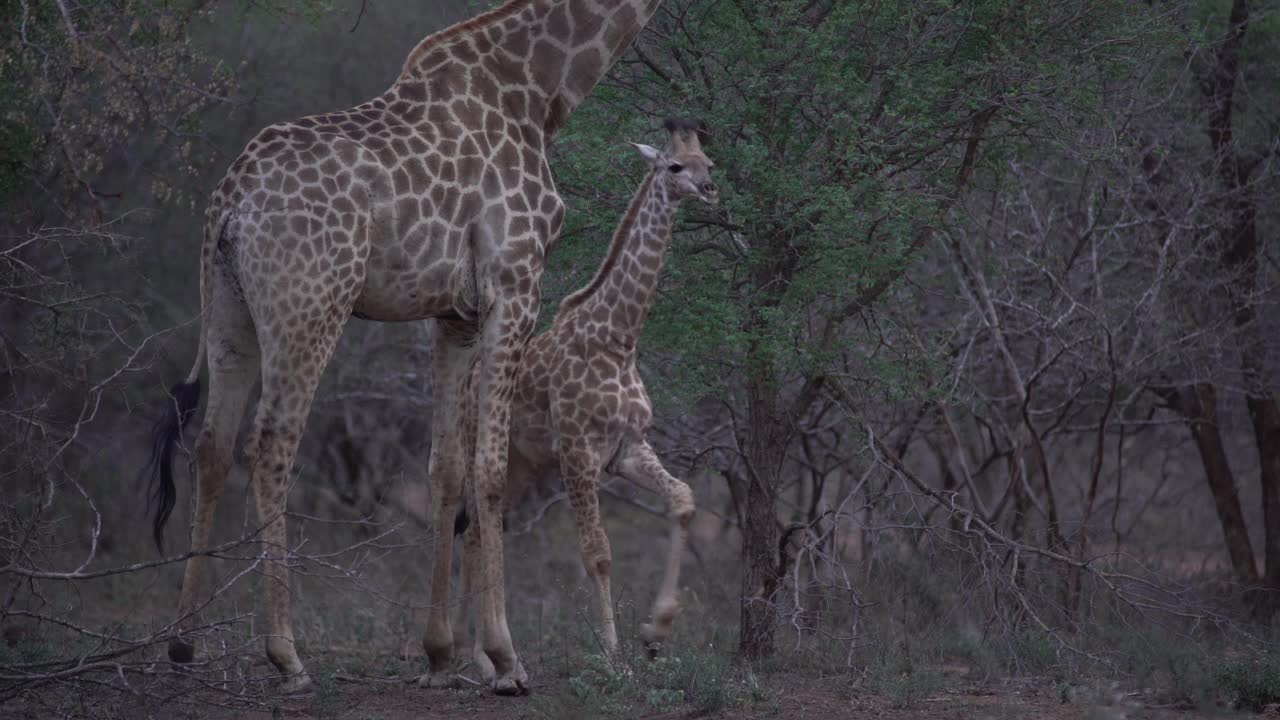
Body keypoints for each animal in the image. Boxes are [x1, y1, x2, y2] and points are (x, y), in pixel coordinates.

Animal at [148, 0, 665, 696]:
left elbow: (446, 469)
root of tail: (230, 203)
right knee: (271, 446)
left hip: (230, 311)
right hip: (310, 305)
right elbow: (490, 471)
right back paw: (287, 656)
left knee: (211, 444)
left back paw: (183, 642)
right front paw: (505, 658)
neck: (537, 91)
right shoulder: (515, 285)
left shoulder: (454, 315)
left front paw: (441, 652)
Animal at [448, 116, 721, 676]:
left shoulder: (628, 448)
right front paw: (614, 656)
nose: (710, 190)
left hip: (523, 464)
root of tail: (467, 382)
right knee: (475, 527)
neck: (618, 338)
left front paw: (655, 633)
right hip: (482, 448)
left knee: (483, 529)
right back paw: (479, 657)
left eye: (710, 161)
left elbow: (683, 500)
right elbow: (597, 550)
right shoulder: (577, 452)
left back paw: (480, 656)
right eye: (674, 166)